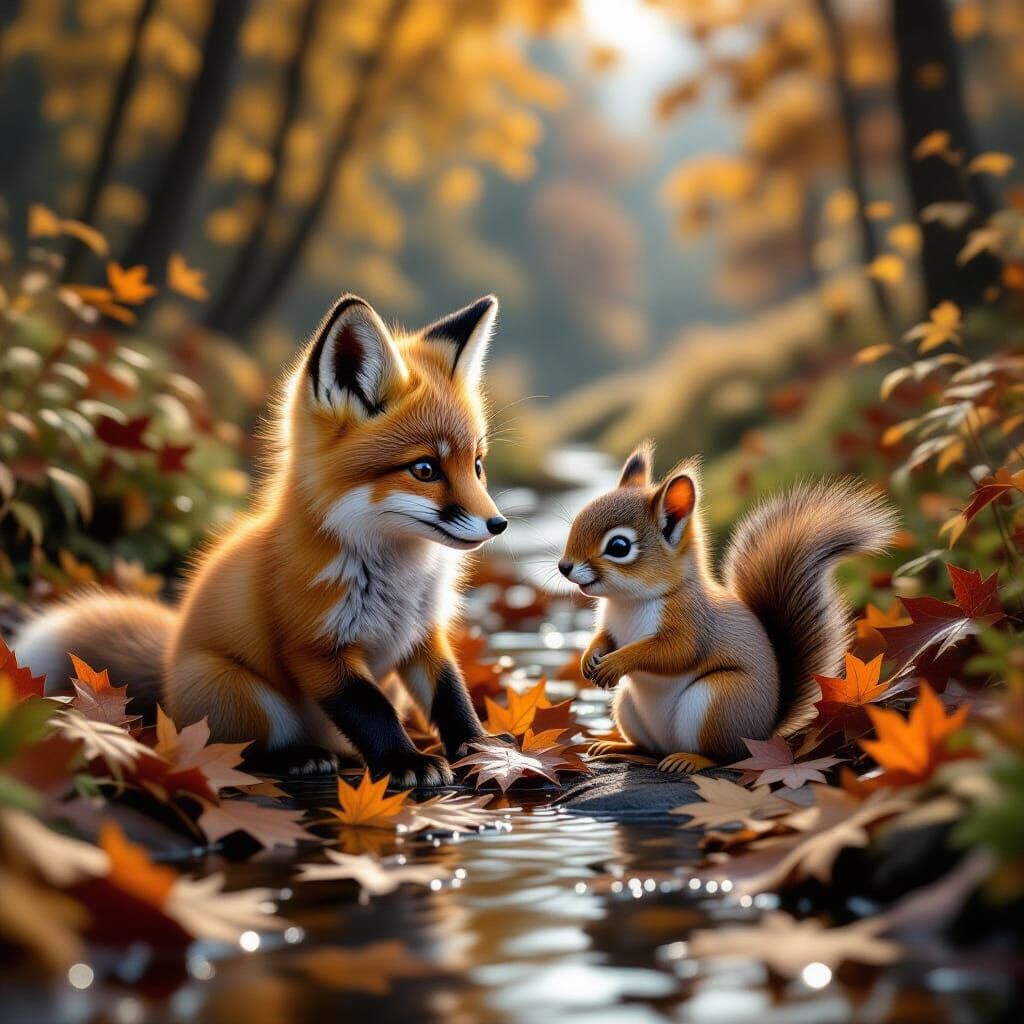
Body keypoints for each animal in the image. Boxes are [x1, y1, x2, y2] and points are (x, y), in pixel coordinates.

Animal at [13, 294, 512, 785]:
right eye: (425, 469)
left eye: (478, 465)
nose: (498, 524)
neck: (399, 576)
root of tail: (168, 675)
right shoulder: (315, 647)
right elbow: (372, 710)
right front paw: (404, 761)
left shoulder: (423, 634)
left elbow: (452, 698)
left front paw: (481, 751)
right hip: (242, 693)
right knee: (237, 751)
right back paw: (295, 757)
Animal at [558, 440, 897, 774]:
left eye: (619, 547)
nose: (564, 566)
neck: (629, 600)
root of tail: (763, 733)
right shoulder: (610, 625)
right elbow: (605, 638)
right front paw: (589, 657)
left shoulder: (692, 622)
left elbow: (673, 652)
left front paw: (616, 662)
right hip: (627, 706)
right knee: (650, 750)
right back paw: (617, 748)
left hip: (717, 701)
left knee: (726, 756)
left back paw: (690, 760)